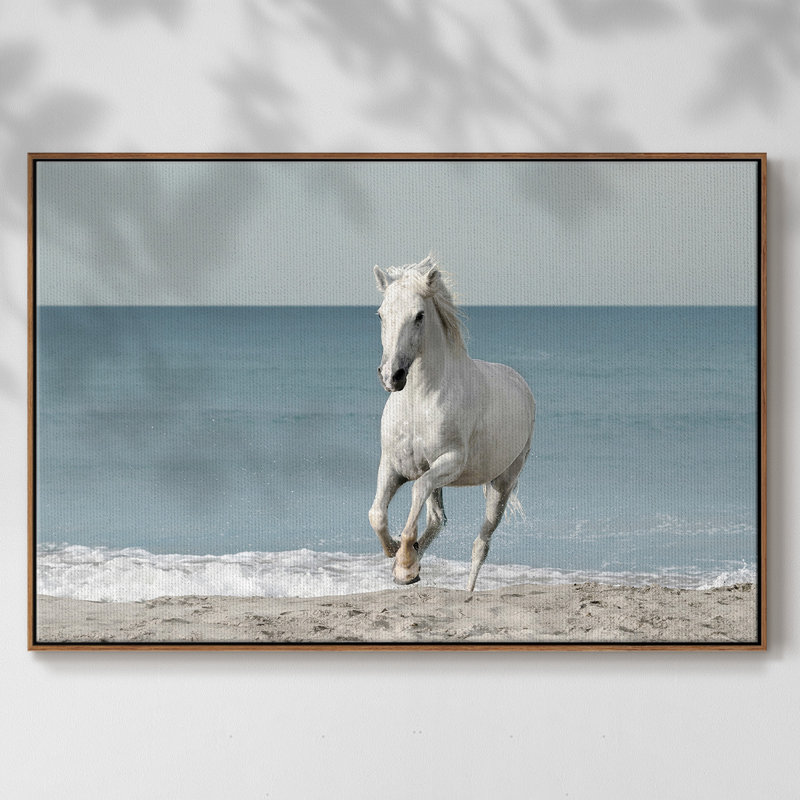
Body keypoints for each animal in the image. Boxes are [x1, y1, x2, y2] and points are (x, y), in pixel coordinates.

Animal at [368, 255, 535, 591]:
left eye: (419, 315)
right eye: (381, 313)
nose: (392, 376)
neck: (419, 402)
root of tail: (520, 383)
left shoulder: (451, 462)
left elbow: (417, 490)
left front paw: (404, 562)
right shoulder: (393, 464)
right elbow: (377, 513)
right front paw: (397, 556)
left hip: (502, 484)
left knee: (481, 543)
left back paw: (466, 591)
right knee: (437, 519)